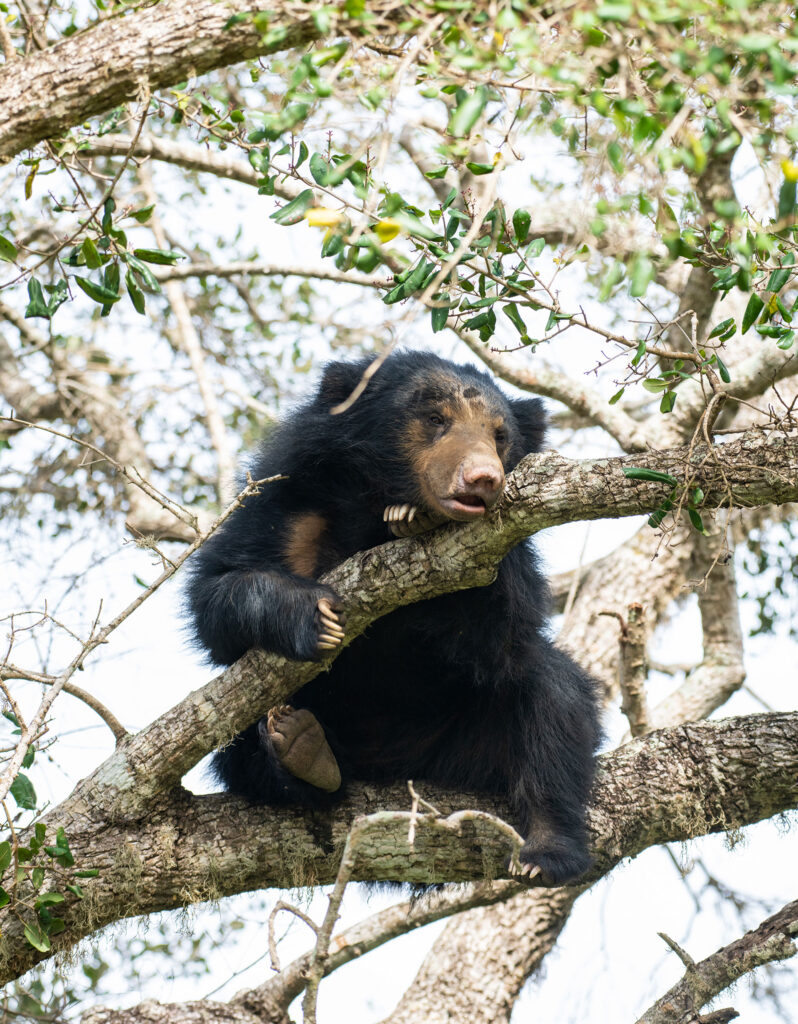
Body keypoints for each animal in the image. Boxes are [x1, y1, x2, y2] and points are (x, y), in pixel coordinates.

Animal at [187, 350, 598, 880]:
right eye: (435, 419)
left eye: (500, 435)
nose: (483, 479)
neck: (376, 503)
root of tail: (398, 766)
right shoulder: (293, 502)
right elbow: (218, 594)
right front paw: (312, 617)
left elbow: (502, 638)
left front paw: (414, 521)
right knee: (242, 750)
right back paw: (304, 751)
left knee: (554, 700)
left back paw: (544, 854)